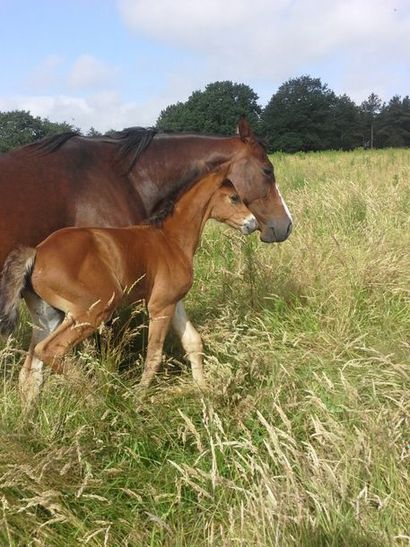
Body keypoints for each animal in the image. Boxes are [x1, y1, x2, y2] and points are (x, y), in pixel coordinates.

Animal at [0, 173, 256, 408]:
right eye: (234, 197)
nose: (252, 223)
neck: (170, 240)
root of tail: (36, 252)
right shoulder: (159, 306)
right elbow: (154, 355)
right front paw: (138, 398)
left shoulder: (173, 302)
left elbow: (193, 342)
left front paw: (205, 393)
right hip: (93, 311)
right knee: (50, 350)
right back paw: (96, 398)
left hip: (49, 318)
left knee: (30, 372)